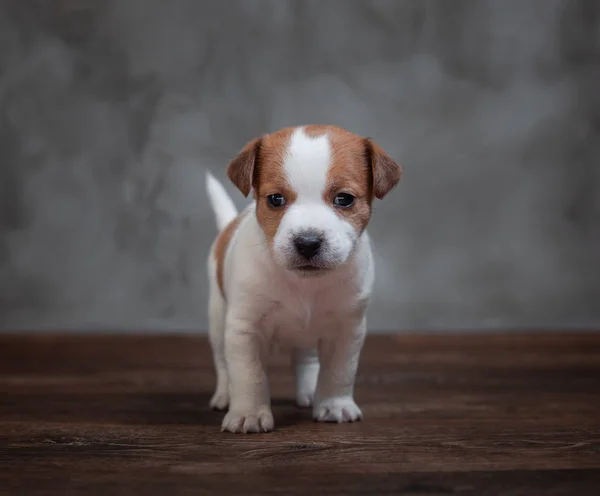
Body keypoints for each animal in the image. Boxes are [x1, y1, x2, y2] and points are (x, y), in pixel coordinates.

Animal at [206, 125, 404, 434]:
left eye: (344, 199)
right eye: (275, 199)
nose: (308, 242)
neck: (305, 284)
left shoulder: (347, 329)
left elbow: (339, 371)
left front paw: (334, 404)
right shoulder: (244, 330)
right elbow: (248, 374)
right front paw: (249, 413)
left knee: (306, 357)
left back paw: (310, 390)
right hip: (217, 318)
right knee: (223, 363)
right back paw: (224, 395)